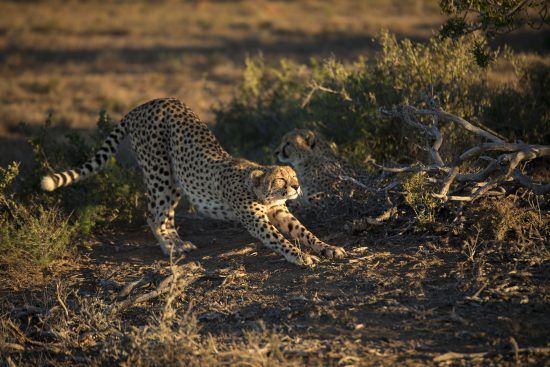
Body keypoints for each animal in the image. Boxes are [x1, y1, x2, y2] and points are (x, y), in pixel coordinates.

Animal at [41, 99, 348, 268]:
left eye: (295, 177)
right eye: (282, 179)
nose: (296, 188)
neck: (258, 186)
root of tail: (148, 103)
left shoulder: (280, 212)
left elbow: (304, 232)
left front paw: (328, 248)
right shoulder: (256, 219)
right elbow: (279, 239)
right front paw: (300, 257)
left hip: (175, 179)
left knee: (165, 214)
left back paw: (178, 243)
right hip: (160, 172)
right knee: (153, 212)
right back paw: (170, 248)